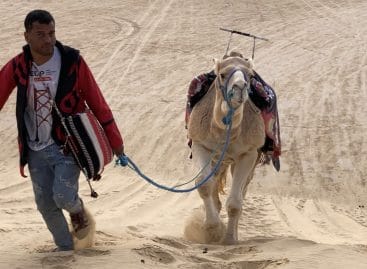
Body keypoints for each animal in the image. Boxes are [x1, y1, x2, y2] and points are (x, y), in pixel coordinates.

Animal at [187, 50, 264, 243]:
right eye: (222, 74)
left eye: (250, 75)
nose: (240, 87)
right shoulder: (200, 144)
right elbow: (203, 184)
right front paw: (212, 228)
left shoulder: (248, 153)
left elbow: (235, 202)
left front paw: (229, 239)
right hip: (218, 160)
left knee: (242, 193)